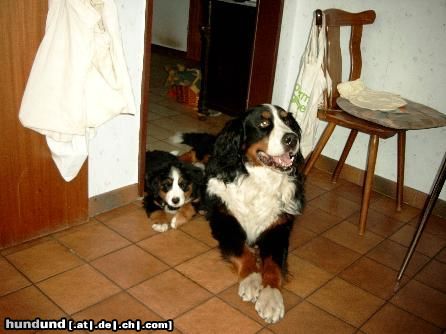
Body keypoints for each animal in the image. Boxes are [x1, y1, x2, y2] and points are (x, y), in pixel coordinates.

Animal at [204, 104, 304, 324]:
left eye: (288, 121)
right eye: (264, 123)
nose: (292, 138)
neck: (261, 181)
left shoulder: (277, 230)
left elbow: (273, 265)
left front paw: (271, 298)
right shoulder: (226, 221)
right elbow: (243, 251)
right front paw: (251, 280)